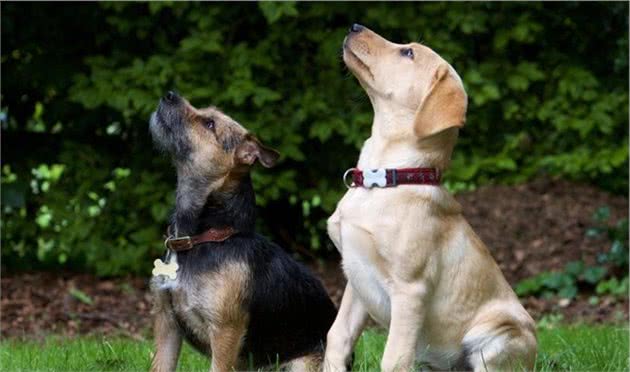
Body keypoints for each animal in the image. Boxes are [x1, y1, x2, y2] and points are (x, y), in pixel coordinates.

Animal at [150, 91, 338, 372]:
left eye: (209, 124)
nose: (169, 94)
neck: (203, 237)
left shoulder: (225, 333)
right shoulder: (166, 324)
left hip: (303, 363)